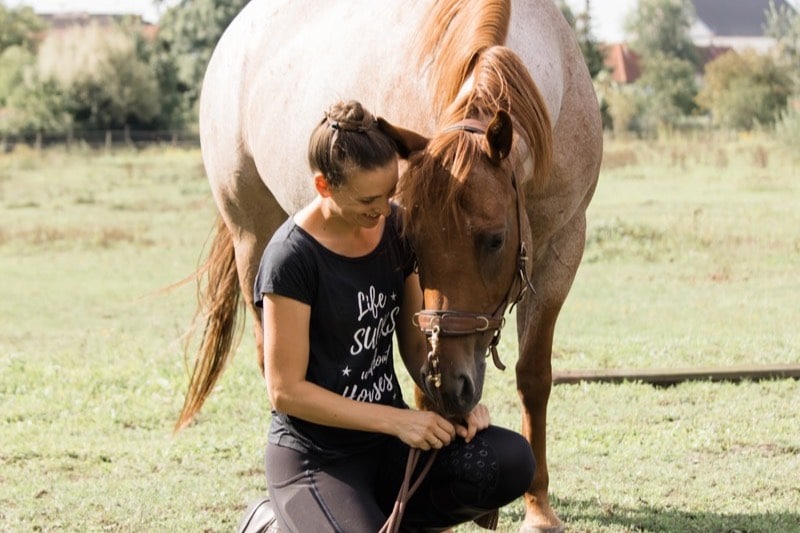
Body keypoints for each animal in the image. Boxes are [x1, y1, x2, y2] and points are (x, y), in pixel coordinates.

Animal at [173, 2, 600, 528]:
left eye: (495, 239)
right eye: (413, 242)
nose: (451, 384)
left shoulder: (563, 246)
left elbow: (534, 378)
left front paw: (538, 506)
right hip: (250, 234)